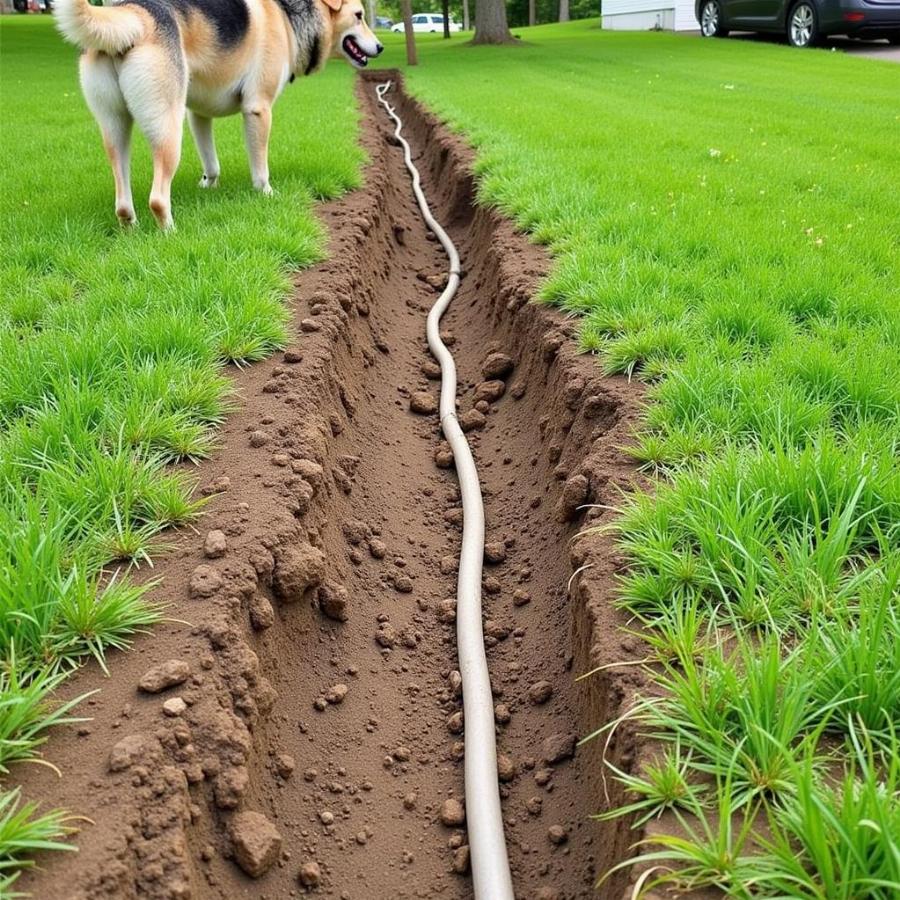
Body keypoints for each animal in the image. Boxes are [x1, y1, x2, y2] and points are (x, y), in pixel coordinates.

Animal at [54, 0, 382, 229]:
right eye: (359, 15)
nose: (379, 47)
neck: (286, 15)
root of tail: (133, 13)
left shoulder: (198, 115)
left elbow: (211, 163)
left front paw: (208, 186)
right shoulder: (258, 109)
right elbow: (260, 167)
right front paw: (267, 194)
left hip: (115, 128)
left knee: (122, 201)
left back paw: (130, 229)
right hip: (168, 130)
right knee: (158, 199)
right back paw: (170, 233)